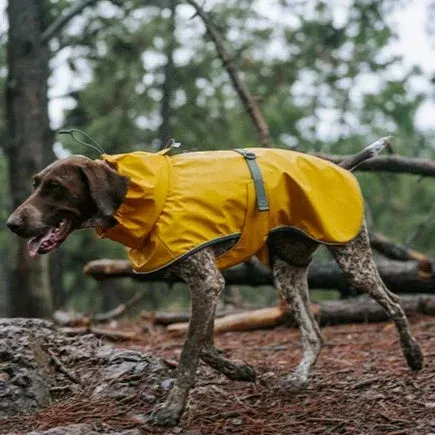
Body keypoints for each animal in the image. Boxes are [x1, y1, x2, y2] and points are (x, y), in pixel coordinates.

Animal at [5, 141, 422, 428]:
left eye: (55, 188)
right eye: (36, 184)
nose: (12, 224)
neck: (143, 197)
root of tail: (342, 165)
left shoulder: (207, 282)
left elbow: (189, 351)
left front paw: (172, 410)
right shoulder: (205, 284)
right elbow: (203, 345)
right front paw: (238, 370)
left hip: (352, 258)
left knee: (395, 302)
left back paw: (413, 355)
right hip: (286, 272)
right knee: (314, 332)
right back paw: (300, 378)